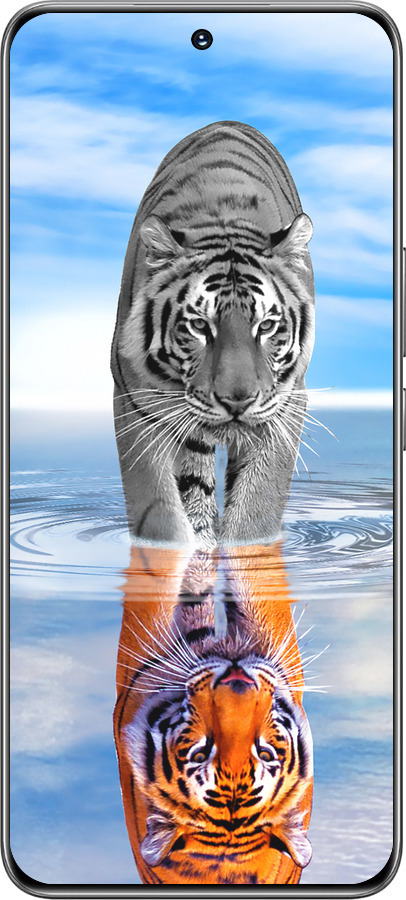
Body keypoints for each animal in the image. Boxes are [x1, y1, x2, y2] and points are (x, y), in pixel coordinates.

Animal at [111, 121, 315, 548]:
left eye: (266, 326)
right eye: (199, 326)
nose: (237, 401)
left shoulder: (286, 404)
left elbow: (257, 508)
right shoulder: (135, 401)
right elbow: (159, 511)